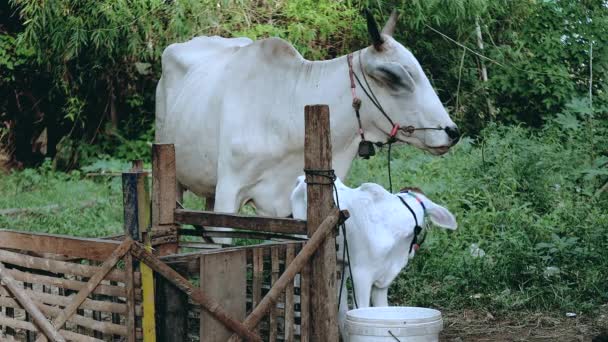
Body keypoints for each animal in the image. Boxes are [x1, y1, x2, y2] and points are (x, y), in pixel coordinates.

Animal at [290, 176, 456, 336]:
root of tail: (300, 179)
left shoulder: (384, 280)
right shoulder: (360, 275)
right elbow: (361, 310)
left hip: (340, 264)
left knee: (340, 303)